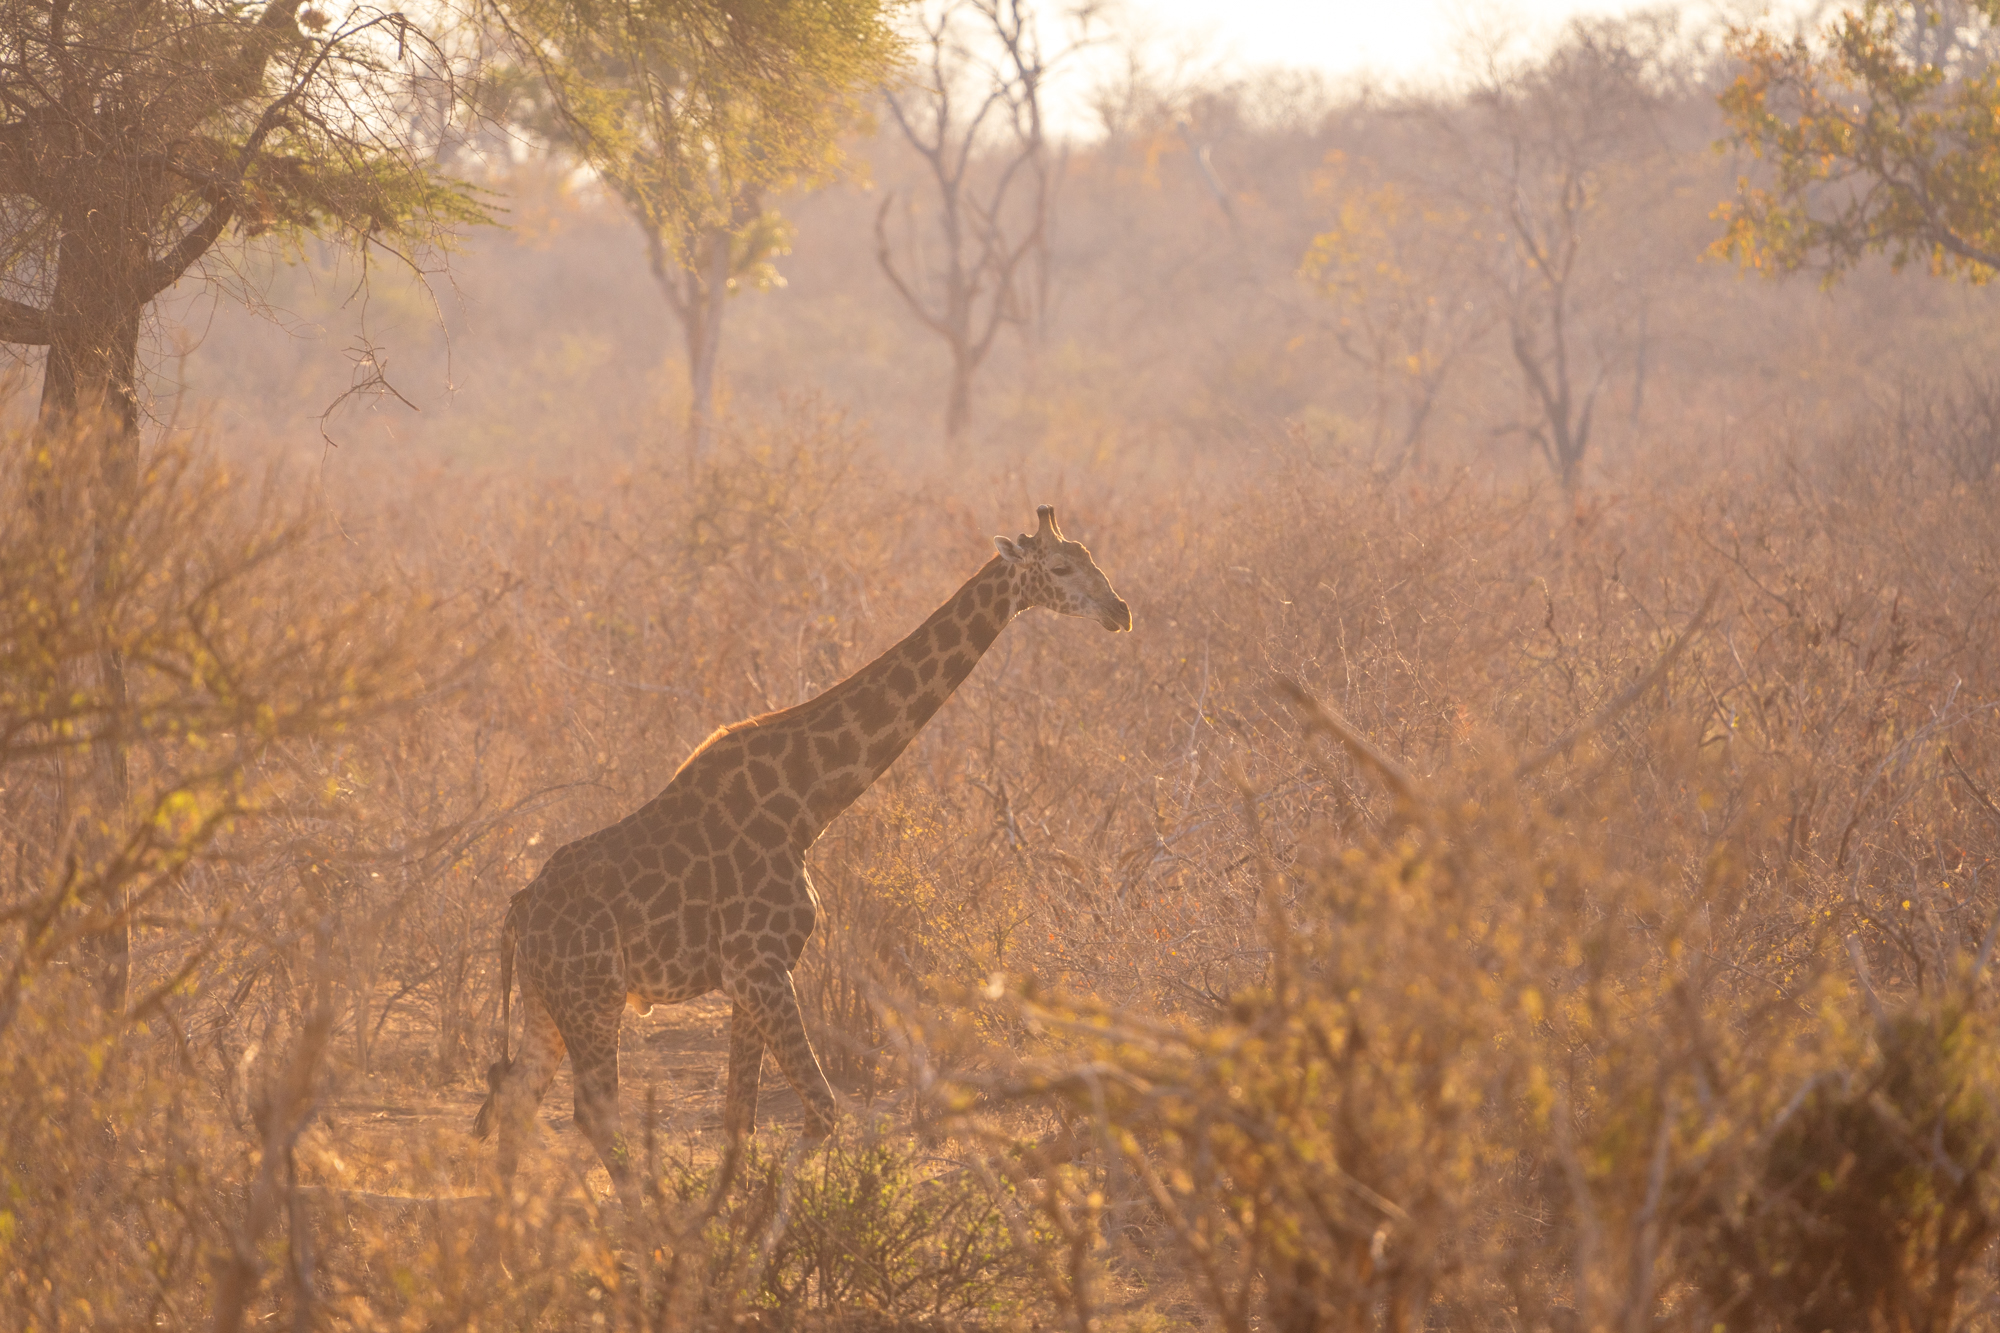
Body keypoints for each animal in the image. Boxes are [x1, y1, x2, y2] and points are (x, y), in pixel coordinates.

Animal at [474, 504, 1131, 1182]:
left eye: (1093, 557)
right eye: (1060, 568)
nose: (1120, 611)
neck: (804, 803)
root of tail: (520, 909)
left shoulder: (749, 977)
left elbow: (741, 1116)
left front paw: (735, 1206)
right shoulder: (761, 967)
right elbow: (821, 1109)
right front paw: (769, 1209)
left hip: (546, 1003)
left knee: (517, 1096)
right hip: (594, 1000)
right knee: (593, 1112)